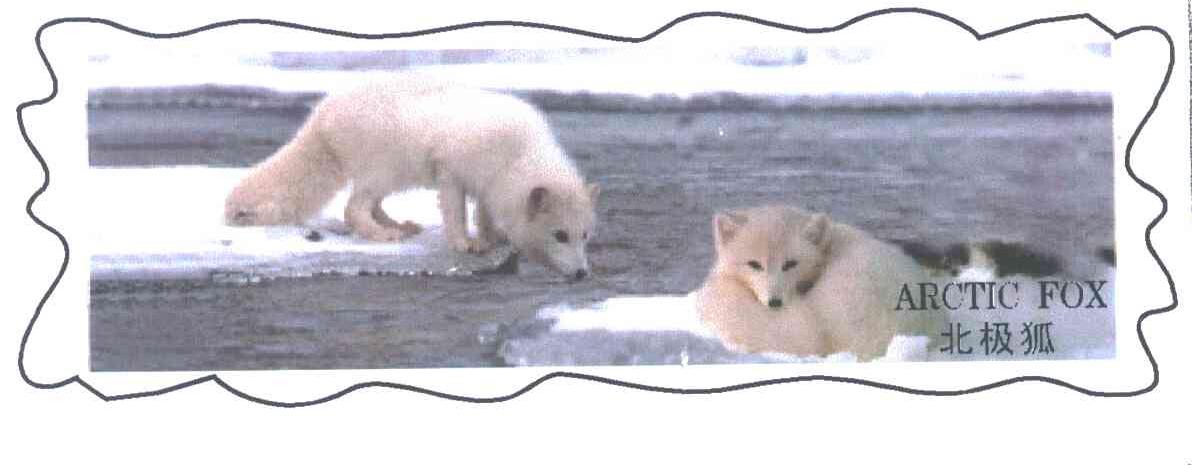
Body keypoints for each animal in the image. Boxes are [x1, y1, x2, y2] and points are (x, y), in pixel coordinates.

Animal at [223, 76, 600, 280]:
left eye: (585, 235)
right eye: (560, 235)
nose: (583, 274)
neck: (517, 156)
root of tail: (321, 116)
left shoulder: (489, 184)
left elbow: (484, 214)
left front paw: (491, 239)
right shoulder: (451, 171)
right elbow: (455, 212)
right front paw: (465, 244)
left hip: (393, 174)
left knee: (370, 205)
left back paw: (400, 226)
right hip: (385, 169)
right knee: (353, 208)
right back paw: (384, 235)